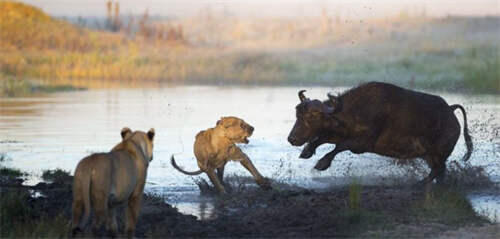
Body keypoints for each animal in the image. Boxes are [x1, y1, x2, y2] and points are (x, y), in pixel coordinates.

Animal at [290, 81, 472, 184]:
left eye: (311, 117)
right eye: (297, 114)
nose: (292, 138)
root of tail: (450, 110)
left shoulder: (362, 143)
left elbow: (339, 146)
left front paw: (321, 164)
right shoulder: (339, 134)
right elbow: (322, 138)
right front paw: (306, 152)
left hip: (438, 155)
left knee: (438, 170)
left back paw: (419, 184)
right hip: (429, 156)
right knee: (440, 172)